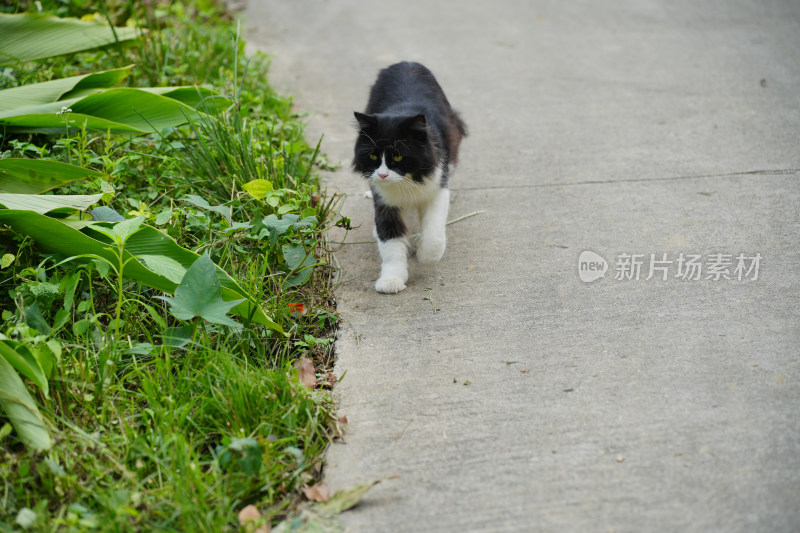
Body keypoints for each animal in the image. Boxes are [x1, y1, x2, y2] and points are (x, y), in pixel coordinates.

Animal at [354, 62, 466, 296]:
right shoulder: (385, 203)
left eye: (397, 157)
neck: (405, 182)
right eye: (373, 157)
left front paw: (424, 255)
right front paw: (391, 280)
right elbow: (391, 243)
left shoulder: (438, 188)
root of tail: (406, 63)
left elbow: (433, 235)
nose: (383, 174)